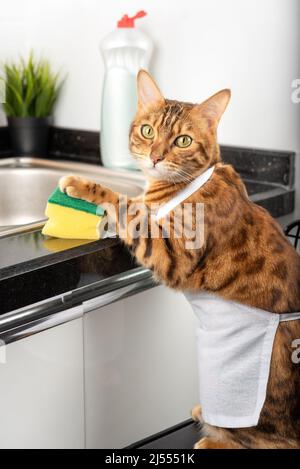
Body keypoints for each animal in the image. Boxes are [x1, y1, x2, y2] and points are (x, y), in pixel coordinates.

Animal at [59, 70, 300, 450]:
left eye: (183, 140)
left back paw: (213, 439)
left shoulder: (170, 251)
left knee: (267, 442)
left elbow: (128, 205)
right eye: (148, 131)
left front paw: (84, 185)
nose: (155, 157)